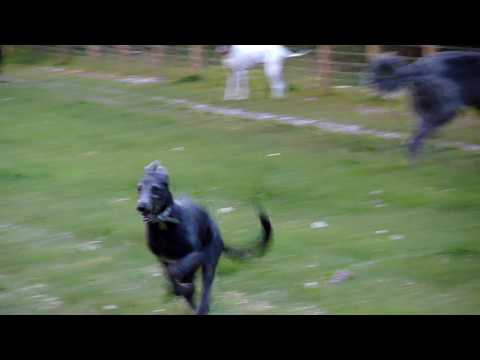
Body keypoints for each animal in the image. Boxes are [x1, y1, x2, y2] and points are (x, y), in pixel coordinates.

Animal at [137, 160, 274, 316]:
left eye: (155, 189)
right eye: (139, 188)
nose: (141, 206)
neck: (164, 225)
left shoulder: (198, 254)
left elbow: (177, 270)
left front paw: (182, 286)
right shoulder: (162, 258)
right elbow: (171, 276)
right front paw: (178, 289)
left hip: (210, 259)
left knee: (205, 288)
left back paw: (201, 307)